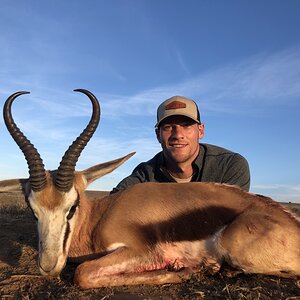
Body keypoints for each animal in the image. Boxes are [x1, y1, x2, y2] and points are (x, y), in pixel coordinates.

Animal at [0, 89, 300, 288]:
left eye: (72, 206)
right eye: (33, 210)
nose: (48, 266)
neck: (99, 217)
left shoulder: (141, 251)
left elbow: (83, 274)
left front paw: (185, 271)